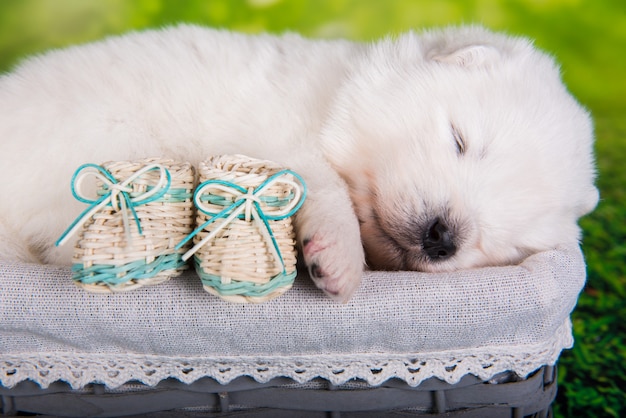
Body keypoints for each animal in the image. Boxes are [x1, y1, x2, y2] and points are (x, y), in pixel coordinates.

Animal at [0, 25, 596, 300]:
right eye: (460, 140)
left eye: (507, 244)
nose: (441, 237)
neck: (328, 102)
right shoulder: (277, 136)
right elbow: (322, 186)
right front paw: (339, 260)